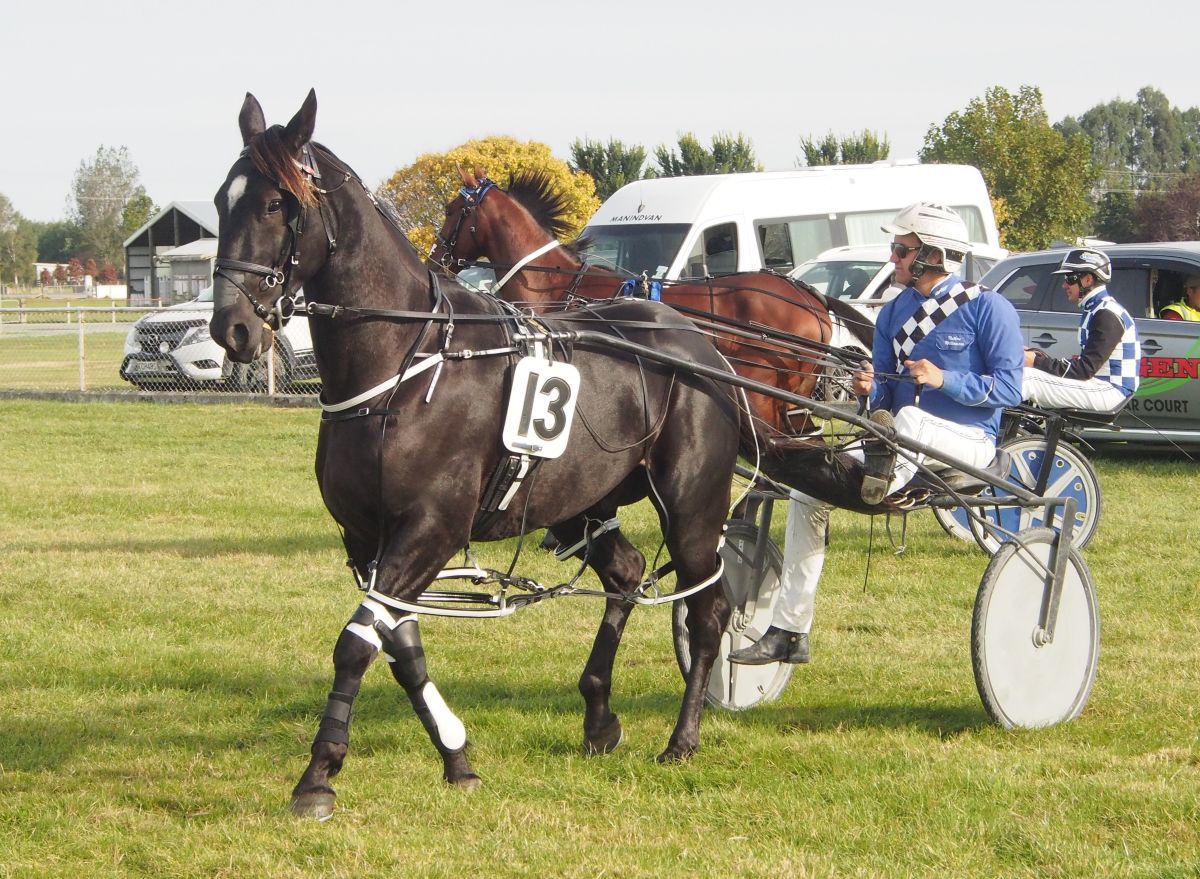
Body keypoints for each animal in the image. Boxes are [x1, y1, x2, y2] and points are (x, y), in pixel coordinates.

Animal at [210, 90, 747, 818]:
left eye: (274, 204)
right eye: (220, 200)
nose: (230, 326)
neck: (404, 365)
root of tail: (699, 343)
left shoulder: (430, 528)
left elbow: (356, 643)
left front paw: (318, 773)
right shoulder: (367, 537)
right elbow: (400, 647)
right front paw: (456, 756)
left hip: (691, 507)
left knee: (707, 609)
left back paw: (682, 738)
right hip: (580, 504)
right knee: (628, 572)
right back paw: (599, 716)